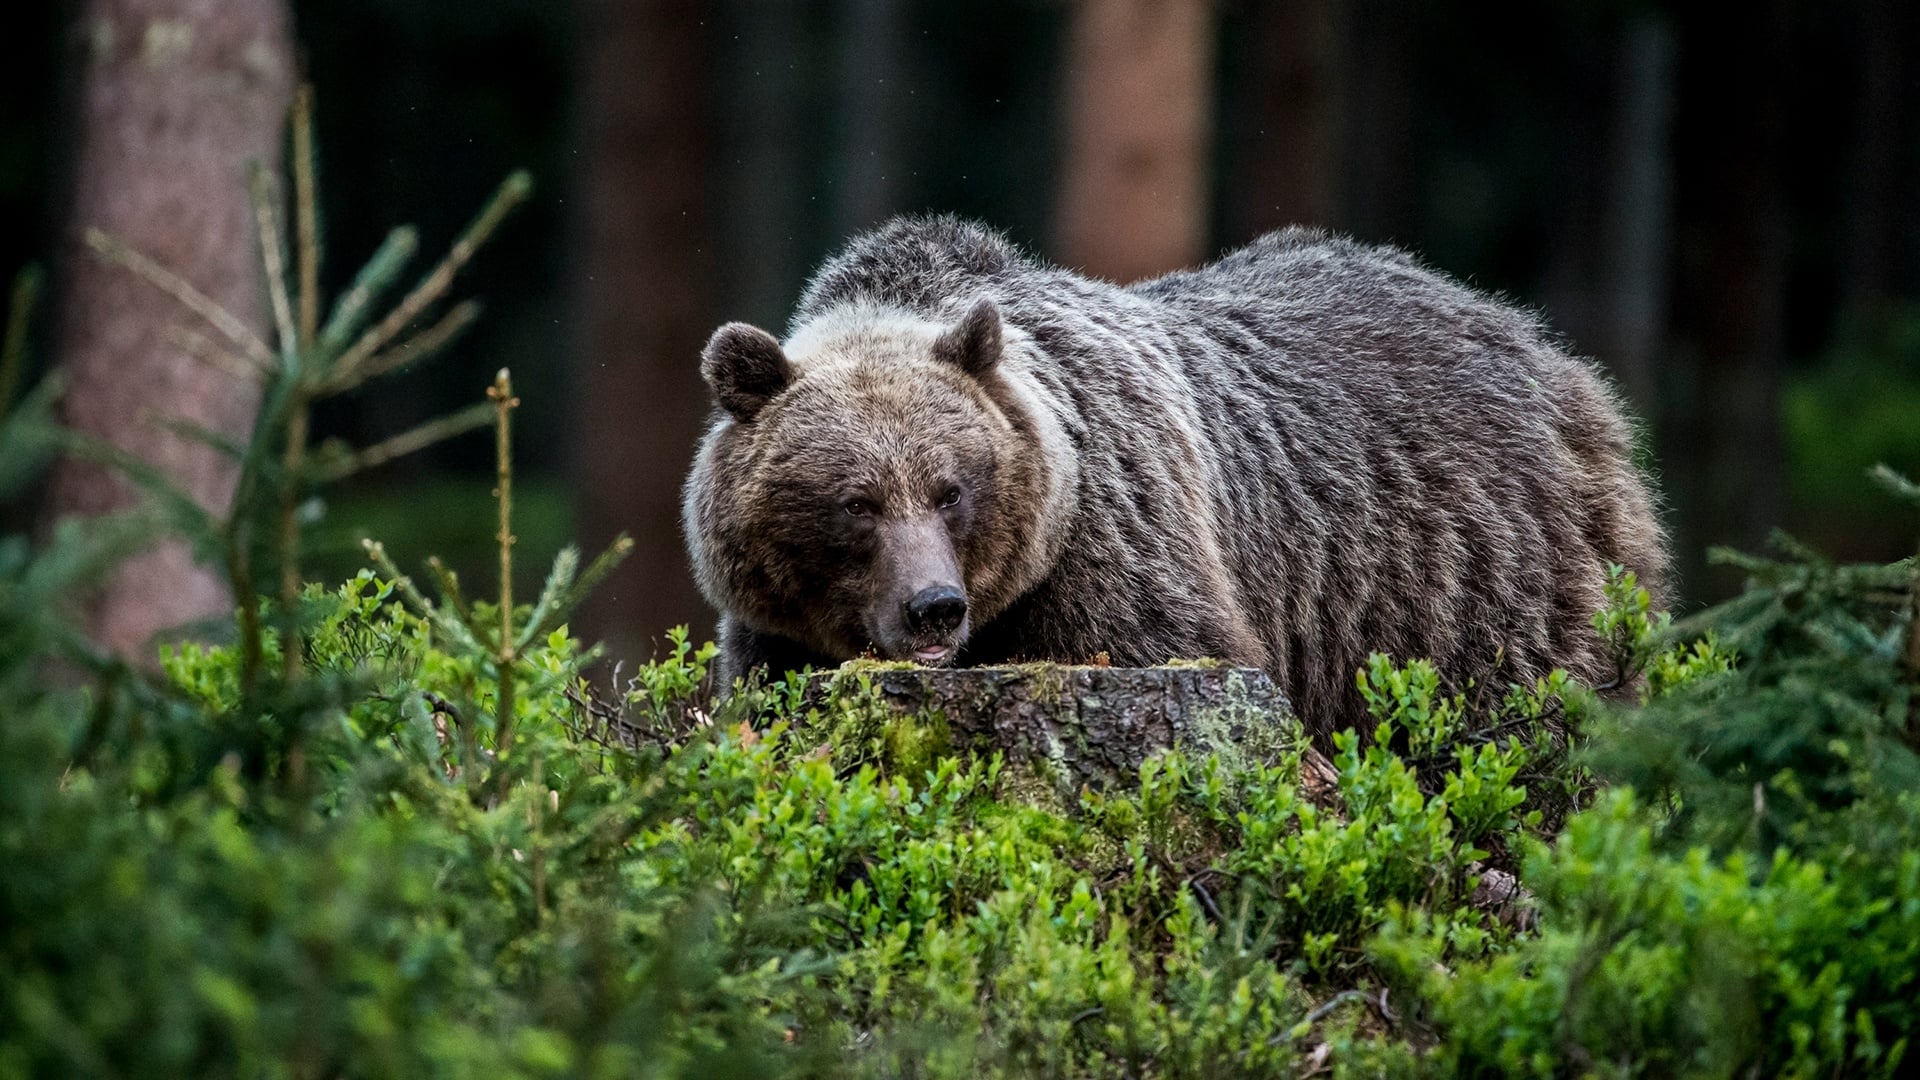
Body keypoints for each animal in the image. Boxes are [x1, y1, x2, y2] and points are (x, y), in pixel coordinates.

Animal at [679, 219, 1666, 737]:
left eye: (952, 488)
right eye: (857, 502)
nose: (935, 608)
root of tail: (1541, 344)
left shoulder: (1114, 548)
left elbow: (1168, 640)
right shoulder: (780, 633)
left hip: (1466, 572)